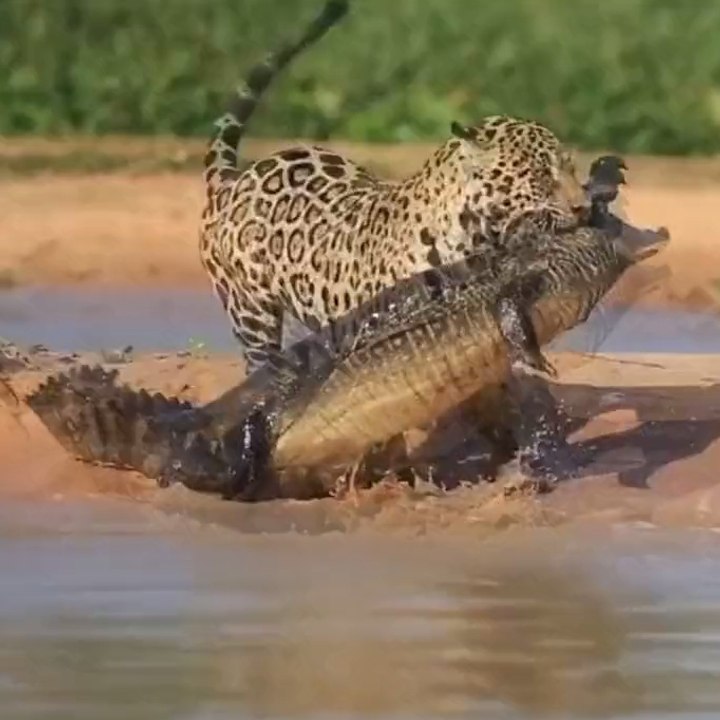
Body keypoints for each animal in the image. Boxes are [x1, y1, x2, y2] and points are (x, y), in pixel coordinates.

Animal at [199, 0, 592, 379]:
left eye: (571, 168)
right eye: (540, 175)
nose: (583, 207)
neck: (475, 237)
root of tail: (233, 177)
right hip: (251, 314)